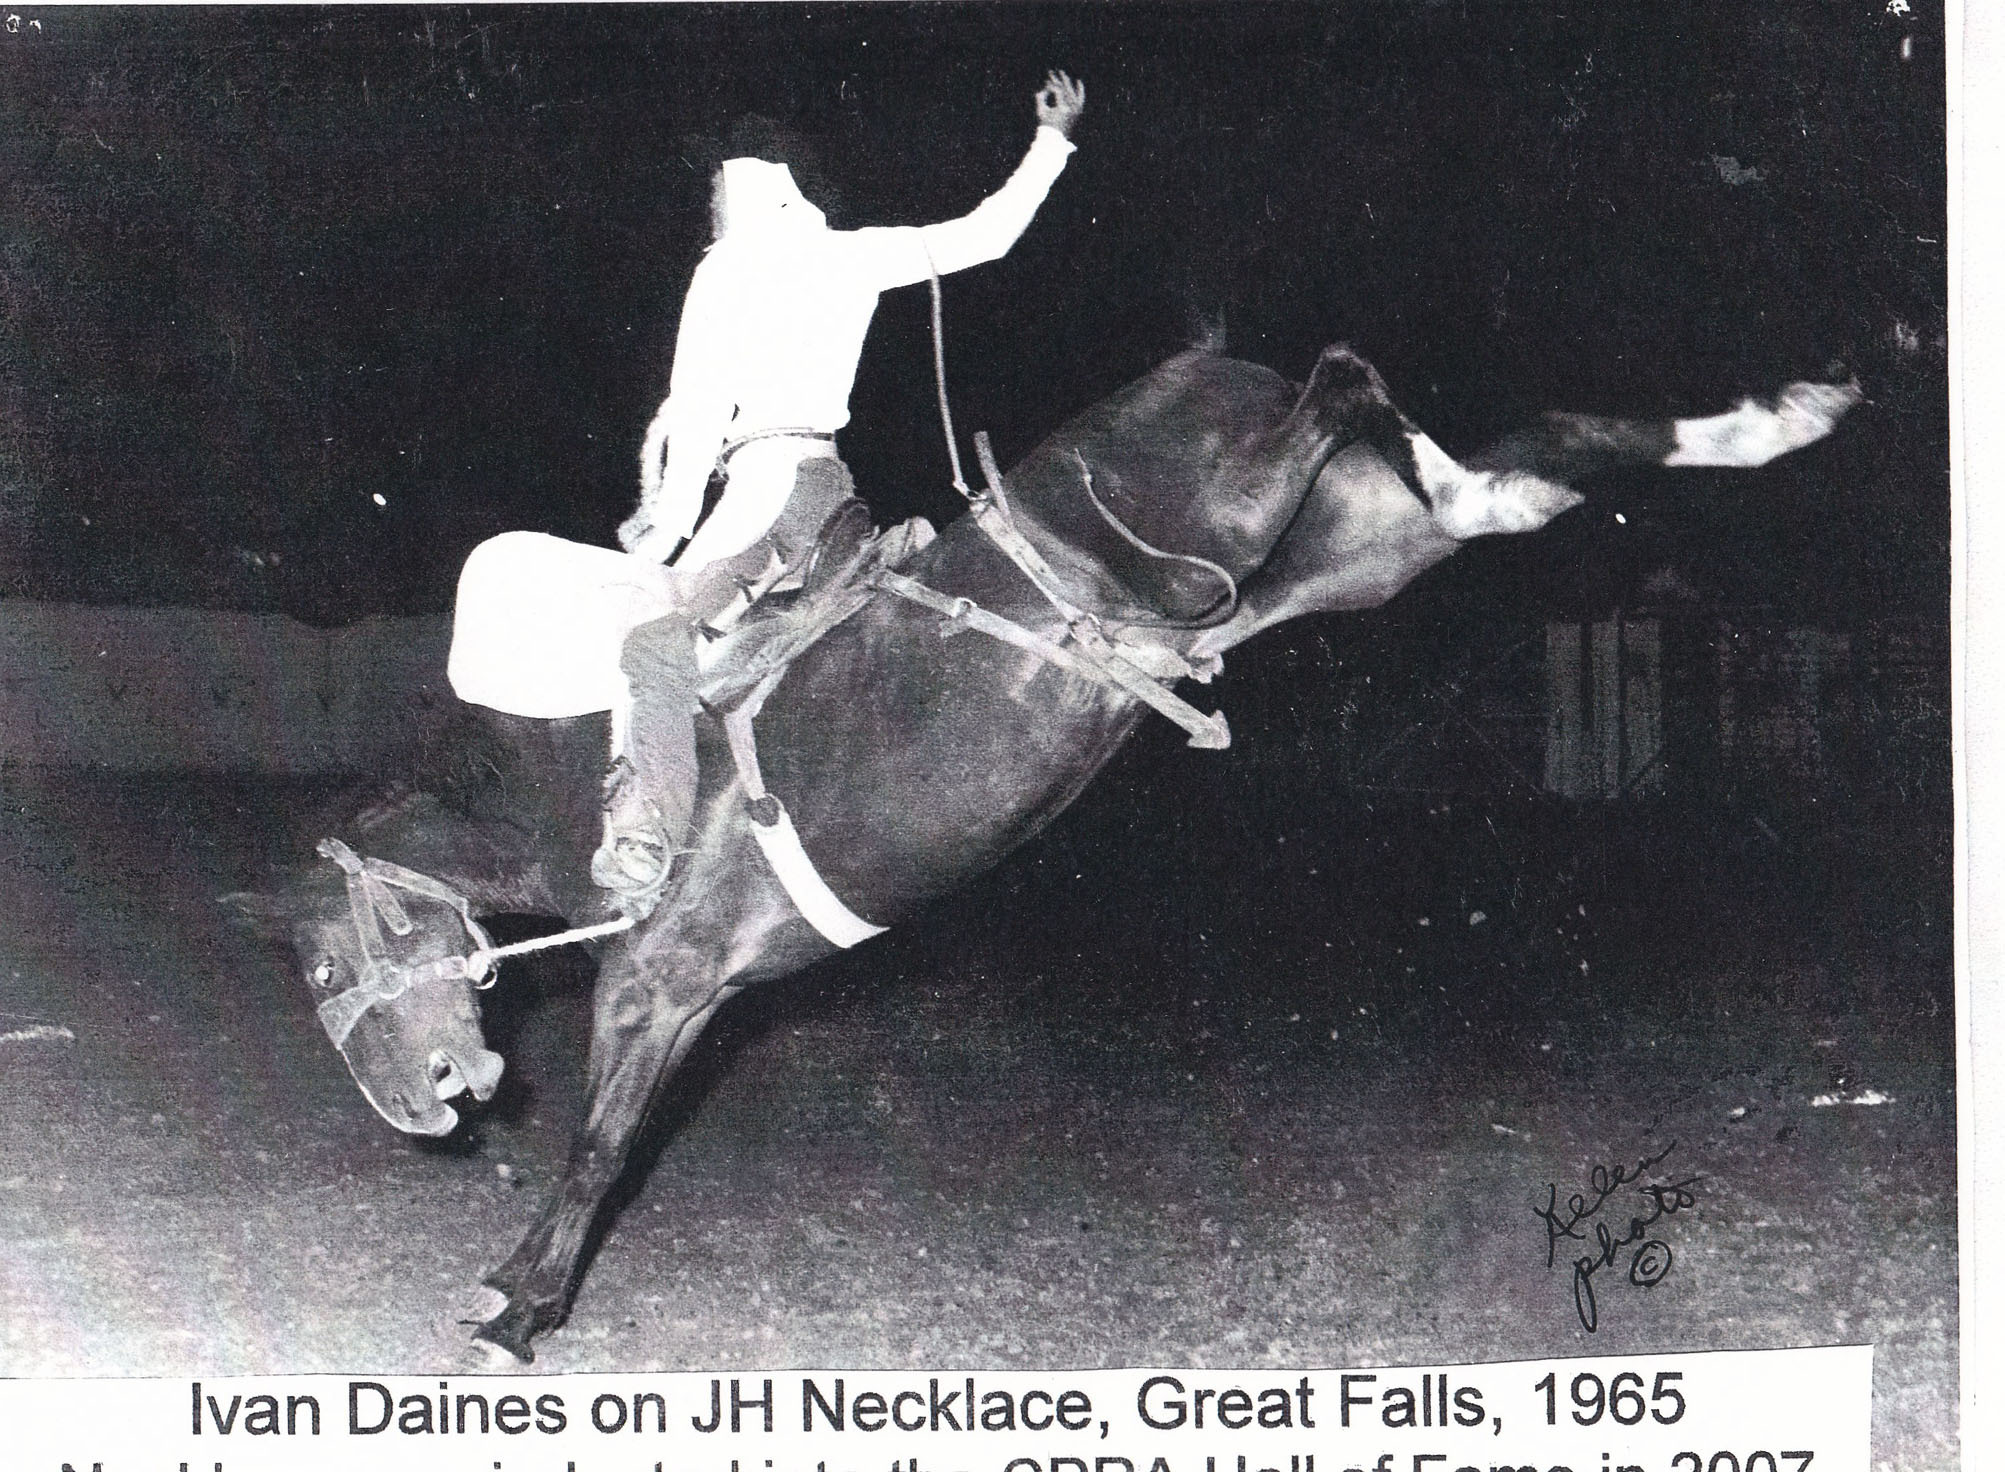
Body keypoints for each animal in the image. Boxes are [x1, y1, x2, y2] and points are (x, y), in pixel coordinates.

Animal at [237, 342, 1858, 1360]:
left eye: (323, 959)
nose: (419, 1108)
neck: (616, 777)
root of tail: (1209, 375)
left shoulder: (661, 981)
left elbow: (596, 1147)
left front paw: (516, 1306)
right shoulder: (695, 995)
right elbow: (610, 1142)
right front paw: (519, 1290)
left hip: (1255, 507)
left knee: (1346, 381)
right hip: (1362, 551)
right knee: (1521, 464)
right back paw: (1771, 417)